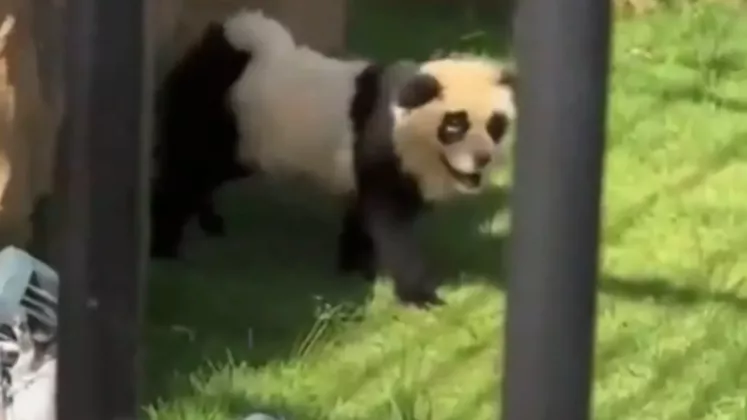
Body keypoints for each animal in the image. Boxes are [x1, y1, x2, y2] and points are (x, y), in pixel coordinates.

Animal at [150, 9, 517, 307]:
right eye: (455, 125)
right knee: (185, 173)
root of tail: (221, 45)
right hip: (219, 118)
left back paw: (210, 222)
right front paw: (420, 296)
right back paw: (164, 246)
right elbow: (392, 224)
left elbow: (362, 216)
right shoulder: (382, 145)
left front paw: (355, 269)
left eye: (495, 125)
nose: (482, 159)